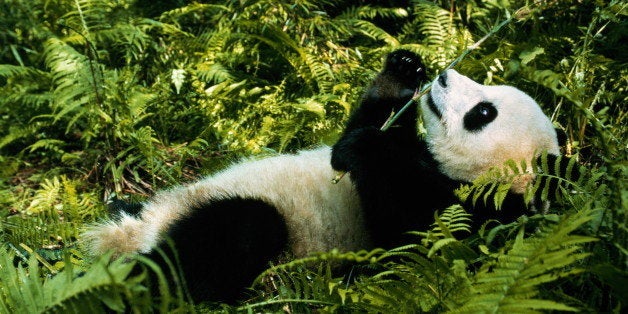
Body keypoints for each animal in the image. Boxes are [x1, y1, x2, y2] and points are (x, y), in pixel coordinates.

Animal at [79, 49, 564, 304]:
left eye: (484, 112)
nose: (443, 76)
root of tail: (135, 233)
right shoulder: (411, 147)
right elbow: (371, 124)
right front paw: (402, 70)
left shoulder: (477, 220)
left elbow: (412, 243)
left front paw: (366, 150)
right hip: (157, 204)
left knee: (230, 238)